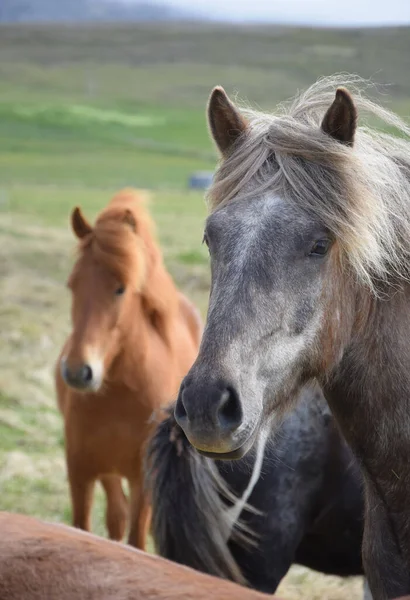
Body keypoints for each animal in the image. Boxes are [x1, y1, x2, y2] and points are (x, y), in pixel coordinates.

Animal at [55, 190, 201, 552]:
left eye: (120, 288)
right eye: (72, 284)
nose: (78, 372)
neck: (121, 394)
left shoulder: (143, 481)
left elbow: (136, 540)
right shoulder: (80, 473)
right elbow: (84, 527)